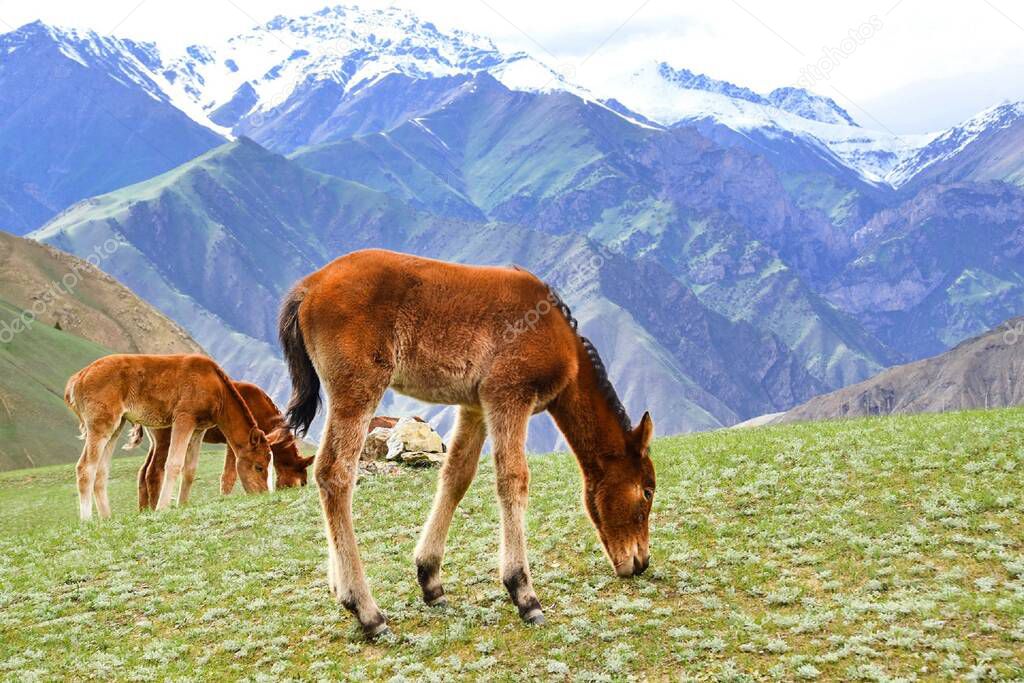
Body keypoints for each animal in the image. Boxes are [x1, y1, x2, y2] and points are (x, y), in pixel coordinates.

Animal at [65, 356, 274, 520]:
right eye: (259, 466)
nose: (263, 493)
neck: (216, 386)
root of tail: (77, 378)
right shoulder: (184, 418)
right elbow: (174, 464)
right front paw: (162, 507)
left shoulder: (198, 429)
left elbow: (190, 470)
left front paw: (182, 505)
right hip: (100, 425)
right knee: (85, 468)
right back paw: (87, 520)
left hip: (116, 426)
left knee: (101, 471)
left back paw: (107, 518)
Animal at [134, 382, 313, 509]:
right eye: (303, 482)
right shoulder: (235, 443)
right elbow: (229, 475)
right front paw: (224, 498)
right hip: (165, 441)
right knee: (153, 472)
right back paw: (155, 508)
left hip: (155, 443)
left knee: (143, 472)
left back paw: (144, 510)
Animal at [278, 250, 655, 643]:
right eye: (647, 492)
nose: (641, 562)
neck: (554, 331)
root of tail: (309, 287)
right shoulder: (509, 395)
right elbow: (513, 480)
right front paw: (524, 594)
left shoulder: (475, 406)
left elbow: (457, 476)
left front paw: (430, 579)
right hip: (358, 387)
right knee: (334, 473)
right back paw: (367, 611)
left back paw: (342, 591)